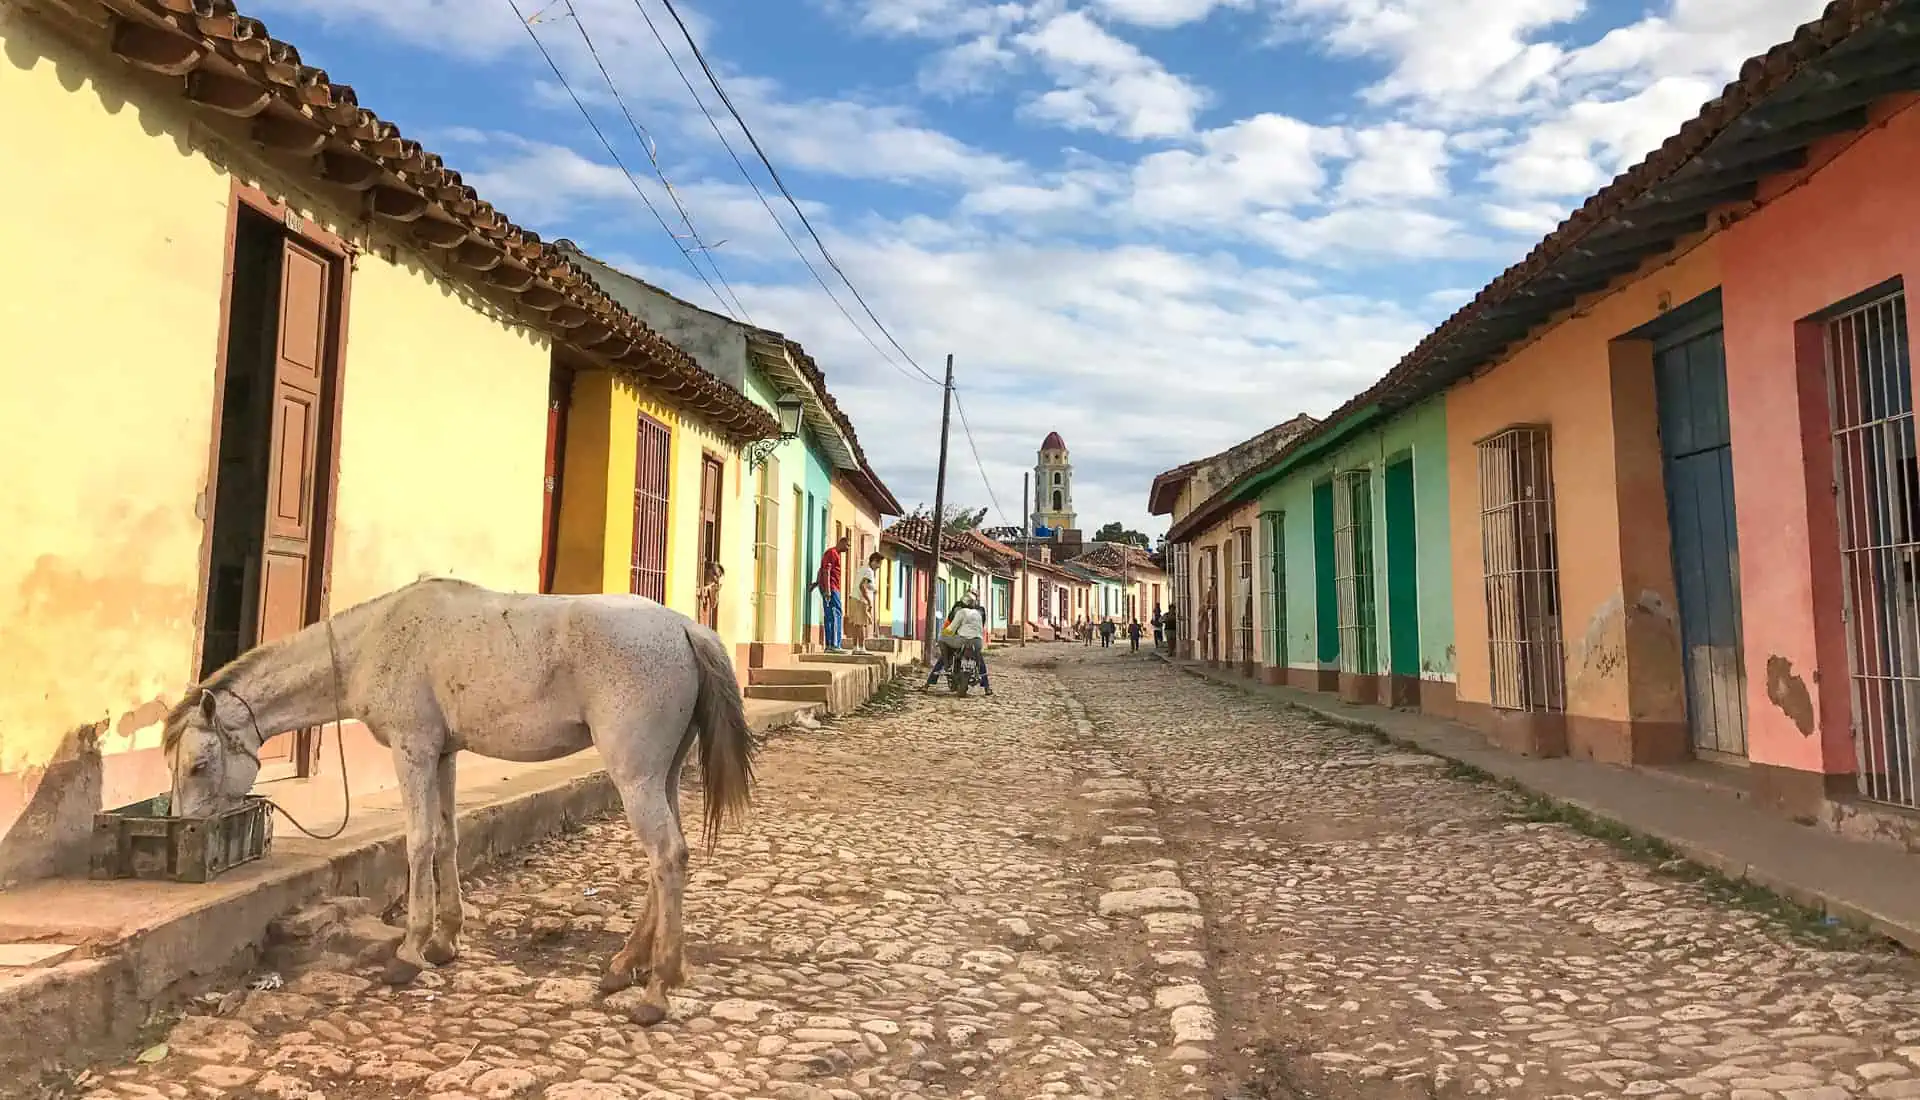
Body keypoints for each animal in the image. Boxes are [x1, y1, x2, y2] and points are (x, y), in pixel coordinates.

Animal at [165, 575, 752, 1021]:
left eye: (198, 765)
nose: (184, 834)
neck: (375, 641)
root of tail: (686, 627)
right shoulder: (444, 754)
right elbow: (447, 839)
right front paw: (446, 941)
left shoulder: (414, 751)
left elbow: (419, 841)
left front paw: (409, 951)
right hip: (662, 775)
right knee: (666, 860)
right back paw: (624, 966)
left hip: (634, 775)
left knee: (667, 857)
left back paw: (656, 989)